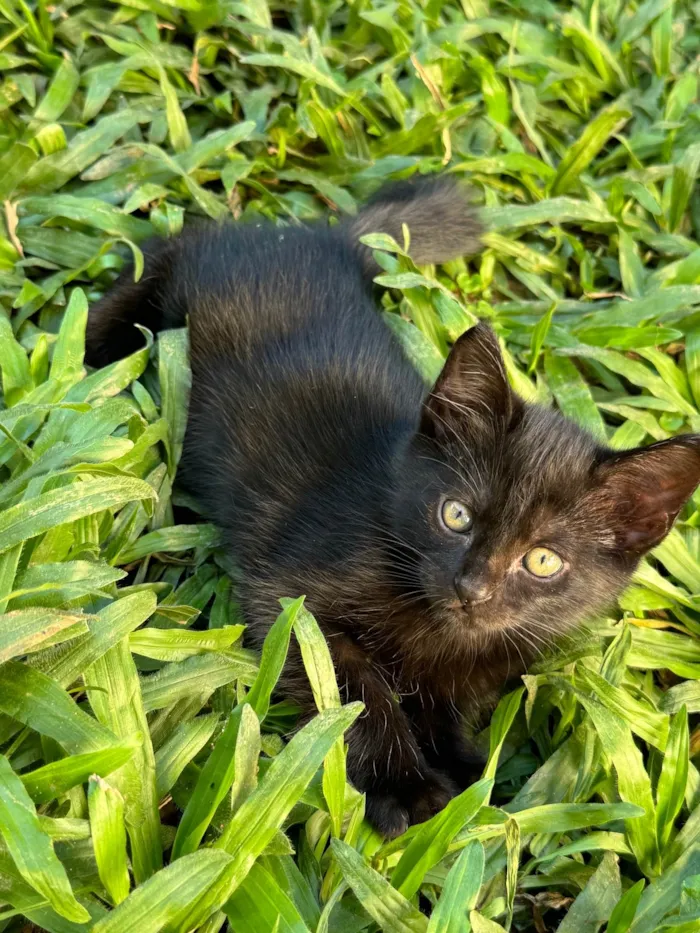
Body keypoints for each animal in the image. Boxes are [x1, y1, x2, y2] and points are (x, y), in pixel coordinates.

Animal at [86, 178, 700, 832]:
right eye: (455, 515)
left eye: (543, 561)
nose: (471, 588)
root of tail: (318, 236)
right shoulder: (289, 591)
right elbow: (354, 687)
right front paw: (406, 786)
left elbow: (441, 703)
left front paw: (463, 775)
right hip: (194, 274)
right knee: (165, 252)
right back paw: (100, 340)